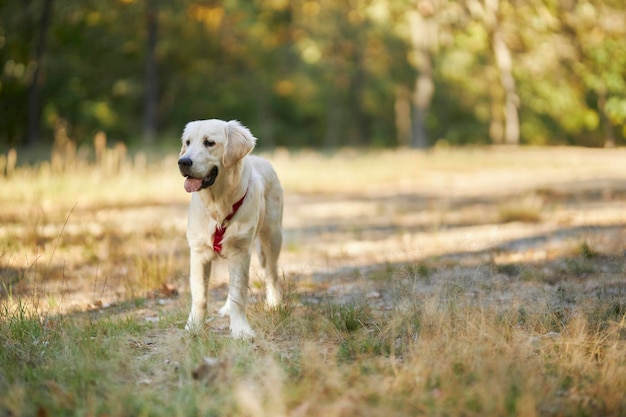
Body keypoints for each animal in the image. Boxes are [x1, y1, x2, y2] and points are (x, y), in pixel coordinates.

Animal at [176, 119, 282, 338]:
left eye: (209, 143)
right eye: (188, 143)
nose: (183, 161)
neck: (219, 206)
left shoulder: (240, 251)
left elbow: (238, 295)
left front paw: (241, 330)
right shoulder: (198, 252)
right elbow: (200, 296)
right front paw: (194, 326)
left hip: (272, 237)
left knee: (271, 272)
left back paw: (274, 303)